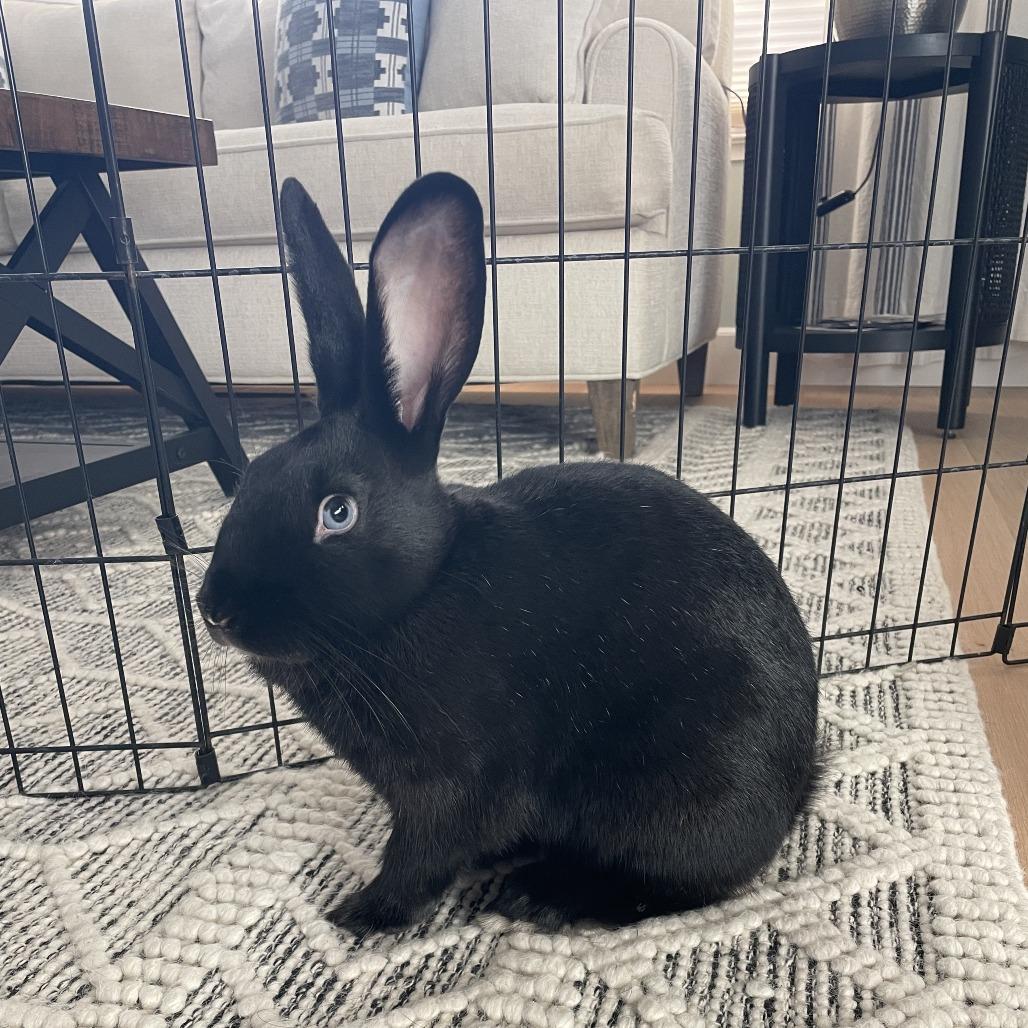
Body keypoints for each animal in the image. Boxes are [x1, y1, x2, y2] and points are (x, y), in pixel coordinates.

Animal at [197, 171, 820, 935]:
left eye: (336, 512)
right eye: (250, 478)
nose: (217, 611)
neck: (424, 586)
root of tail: (796, 787)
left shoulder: (453, 783)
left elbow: (421, 854)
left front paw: (360, 914)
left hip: (684, 785)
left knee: (679, 881)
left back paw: (543, 894)